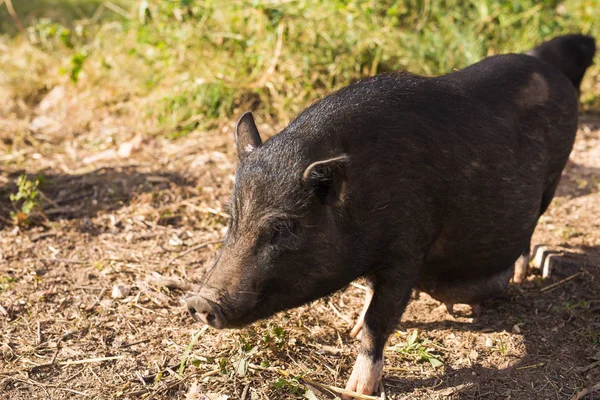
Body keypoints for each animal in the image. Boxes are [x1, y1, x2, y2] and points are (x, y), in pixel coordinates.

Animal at [186, 54, 576, 396]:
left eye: (283, 227)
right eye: (232, 217)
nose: (200, 301)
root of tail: (553, 71)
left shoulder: (409, 248)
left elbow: (379, 320)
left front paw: (355, 389)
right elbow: (371, 298)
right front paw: (351, 327)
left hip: (553, 181)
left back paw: (521, 278)